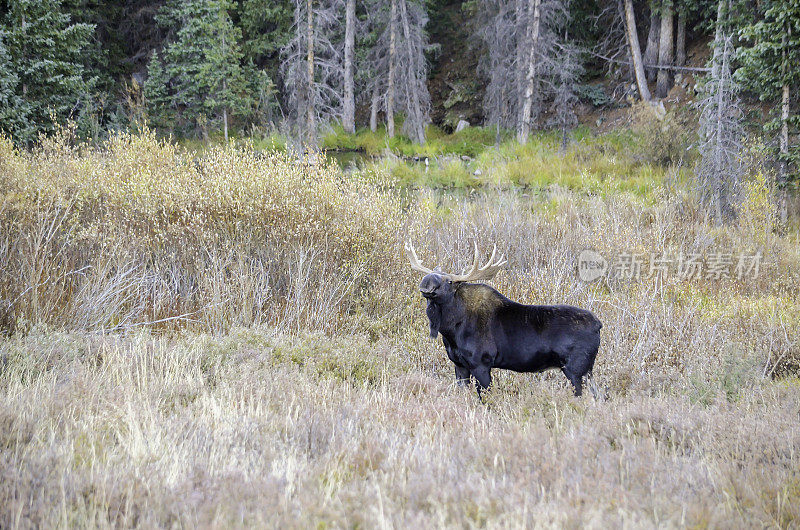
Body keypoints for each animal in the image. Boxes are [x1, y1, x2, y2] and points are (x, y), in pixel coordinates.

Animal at [410, 241, 604, 394]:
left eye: (450, 281)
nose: (427, 281)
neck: (450, 330)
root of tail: (599, 325)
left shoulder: (481, 364)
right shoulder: (459, 365)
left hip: (575, 369)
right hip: (587, 371)